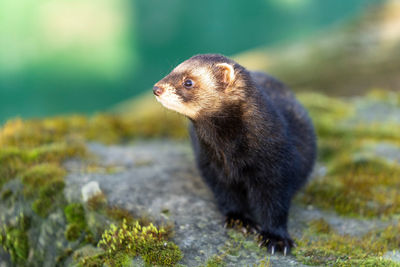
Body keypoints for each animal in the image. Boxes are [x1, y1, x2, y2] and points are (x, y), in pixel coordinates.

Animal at [152, 54, 316, 255]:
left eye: (188, 82)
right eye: (173, 70)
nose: (156, 88)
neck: (230, 155)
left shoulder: (277, 167)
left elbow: (275, 205)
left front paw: (276, 238)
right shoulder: (211, 165)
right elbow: (226, 195)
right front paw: (240, 221)